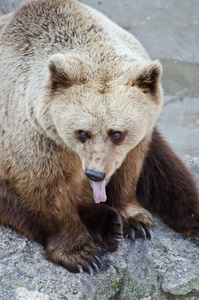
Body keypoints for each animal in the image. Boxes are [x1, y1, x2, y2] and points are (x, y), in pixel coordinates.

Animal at [0, 0, 198, 274]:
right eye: (82, 132)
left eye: (116, 133)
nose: (94, 174)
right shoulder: (35, 140)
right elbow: (47, 194)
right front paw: (81, 254)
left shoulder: (141, 137)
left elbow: (131, 169)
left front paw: (134, 219)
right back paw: (105, 224)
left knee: (169, 172)